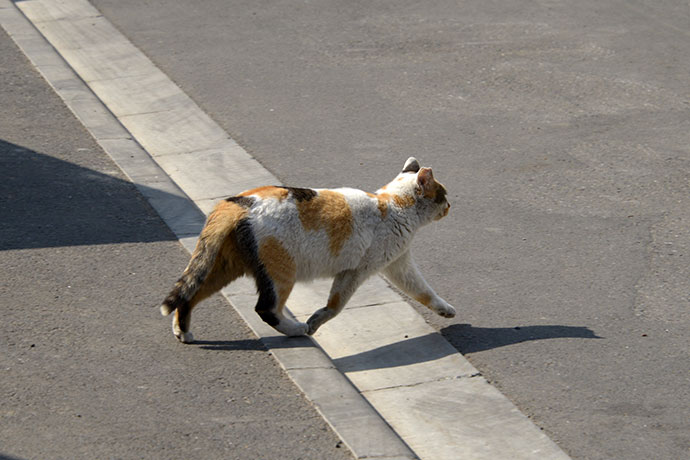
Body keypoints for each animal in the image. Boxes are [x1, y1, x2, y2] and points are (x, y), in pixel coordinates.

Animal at [159, 158, 454, 342]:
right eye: (444, 194)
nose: (450, 206)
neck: (392, 204)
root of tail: (235, 204)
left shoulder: (399, 264)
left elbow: (423, 291)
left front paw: (445, 311)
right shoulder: (357, 272)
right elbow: (334, 306)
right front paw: (314, 322)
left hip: (223, 266)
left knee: (189, 296)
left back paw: (183, 333)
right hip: (280, 272)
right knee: (266, 309)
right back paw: (296, 329)